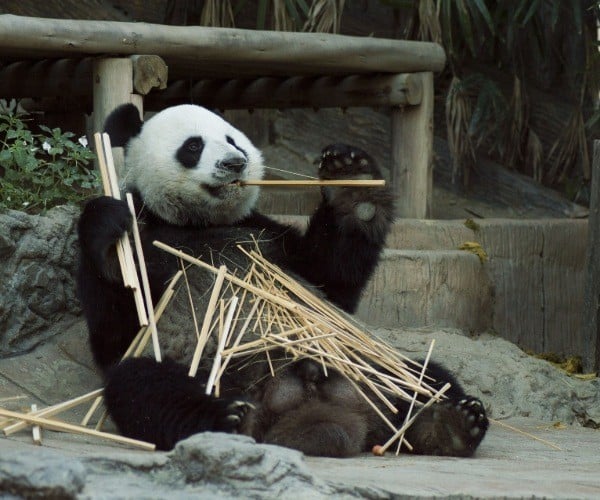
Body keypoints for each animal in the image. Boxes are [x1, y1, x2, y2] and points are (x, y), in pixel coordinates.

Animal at [77, 103, 488, 456]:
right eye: (193, 146)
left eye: (232, 140)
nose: (235, 163)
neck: (198, 223)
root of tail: (305, 409)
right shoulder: (150, 241)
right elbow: (116, 332)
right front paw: (107, 224)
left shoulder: (266, 236)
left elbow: (331, 279)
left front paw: (351, 178)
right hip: (213, 371)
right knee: (144, 386)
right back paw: (227, 419)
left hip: (364, 359)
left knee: (423, 375)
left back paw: (449, 423)